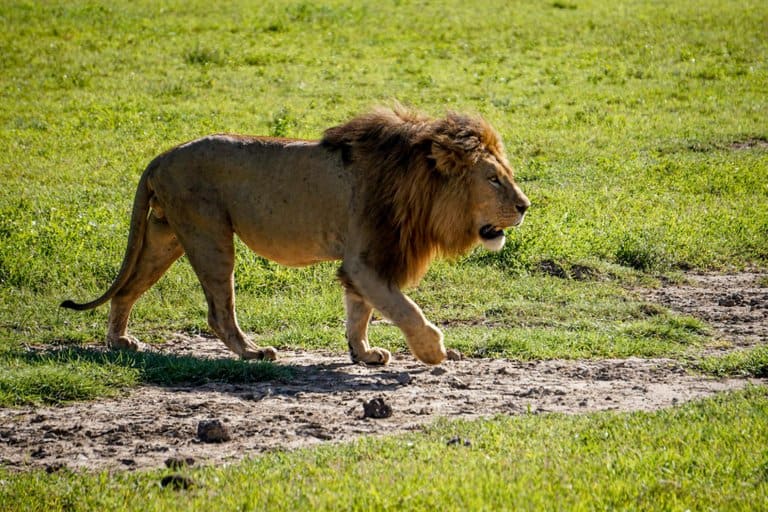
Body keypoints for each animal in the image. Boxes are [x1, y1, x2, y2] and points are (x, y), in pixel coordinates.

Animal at [61, 107, 528, 364]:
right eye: (493, 179)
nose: (525, 206)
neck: (420, 186)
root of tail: (160, 156)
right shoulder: (367, 260)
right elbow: (404, 308)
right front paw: (435, 352)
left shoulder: (365, 263)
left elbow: (360, 311)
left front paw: (364, 353)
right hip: (209, 235)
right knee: (218, 312)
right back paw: (253, 353)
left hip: (166, 236)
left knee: (127, 289)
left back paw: (120, 341)